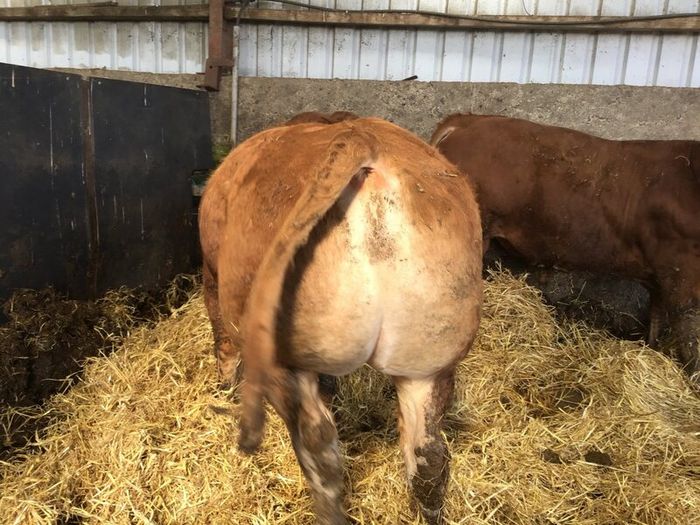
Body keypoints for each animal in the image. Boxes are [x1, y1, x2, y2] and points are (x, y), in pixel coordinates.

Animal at [199, 117, 483, 524]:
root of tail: (362, 138)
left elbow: (221, 343)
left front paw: (224, 389)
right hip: (430, 356)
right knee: (428, 455)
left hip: (284, 360)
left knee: (320, 449)